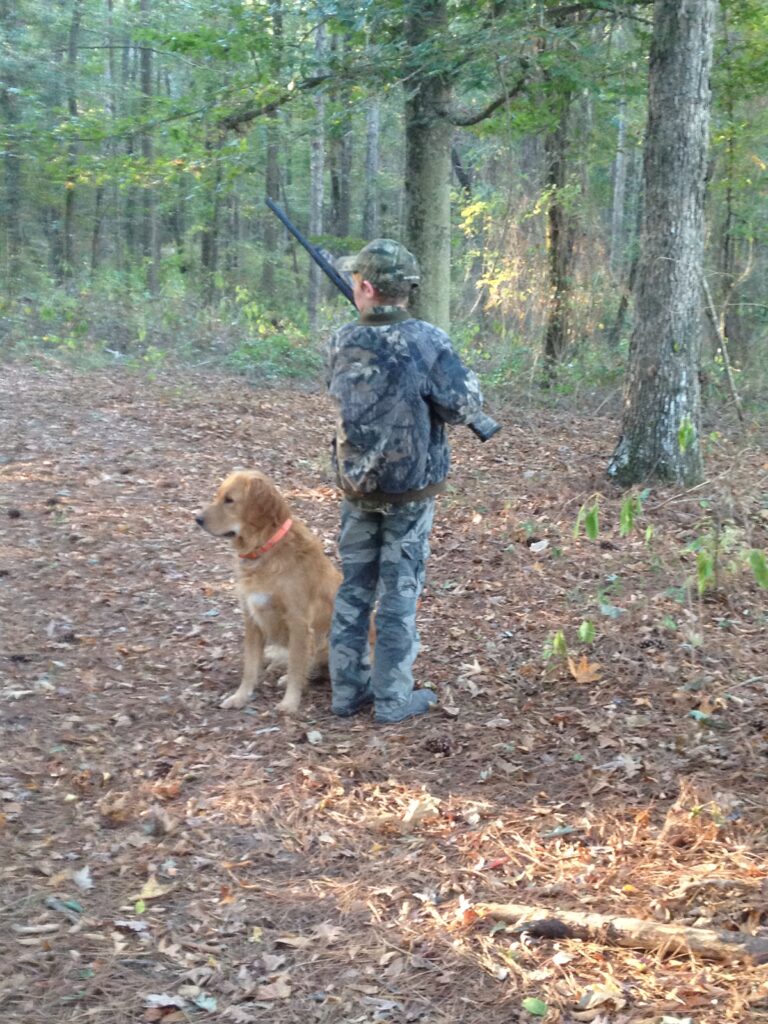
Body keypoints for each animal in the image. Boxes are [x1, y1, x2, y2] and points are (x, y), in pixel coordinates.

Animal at [196, 468, 342, 716]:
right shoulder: (252, 619)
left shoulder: (298, 623)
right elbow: (250, 668)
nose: (197, 519)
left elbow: (296, 667)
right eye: (218, 496)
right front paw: (240, 697)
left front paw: (290, 703)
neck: (265, 548)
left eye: (229, 500)